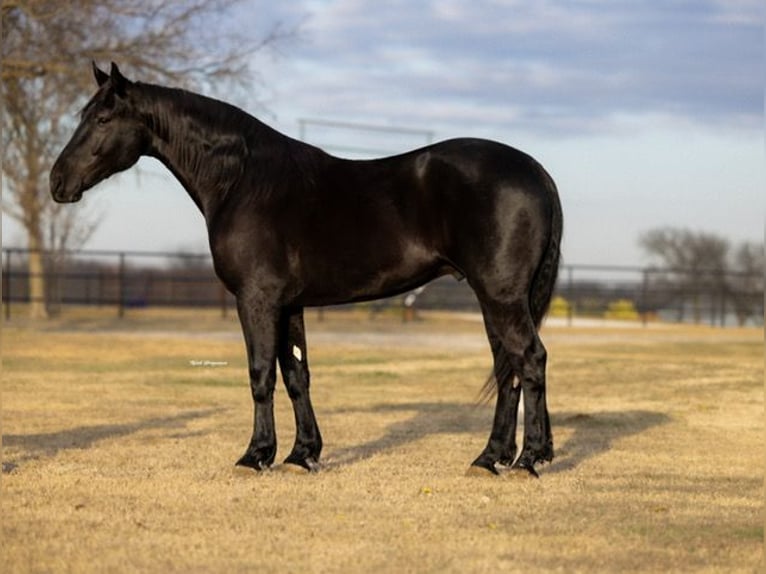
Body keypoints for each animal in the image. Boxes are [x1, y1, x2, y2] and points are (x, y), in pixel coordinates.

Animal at [50, 62, 563, 477]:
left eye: (102, 119)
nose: (57, 182)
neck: (243, 181)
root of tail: (537, 171)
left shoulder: (256, 299)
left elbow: (261, 375)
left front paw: (255, 455)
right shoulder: (289, 304)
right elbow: (297, 375)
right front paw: (302, 456)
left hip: (499, 295)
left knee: (529, 360)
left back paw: (527, 460)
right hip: (495, 298)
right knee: (507, 369)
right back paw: (490, 458)